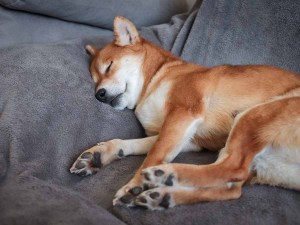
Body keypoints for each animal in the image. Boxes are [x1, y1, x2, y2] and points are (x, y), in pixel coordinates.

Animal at [69, 16, 298, 211]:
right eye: (94, 80)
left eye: (108, 67)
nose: (99, 94)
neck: (155, 79)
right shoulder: (185, 138)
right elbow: (133, 145)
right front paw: (101, 153)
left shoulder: (183, 114)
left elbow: (153, 156)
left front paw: (136, 184)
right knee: (232, 188)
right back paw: (163, 196)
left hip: (252, 116)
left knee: (233, 168)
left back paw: (163, 176)